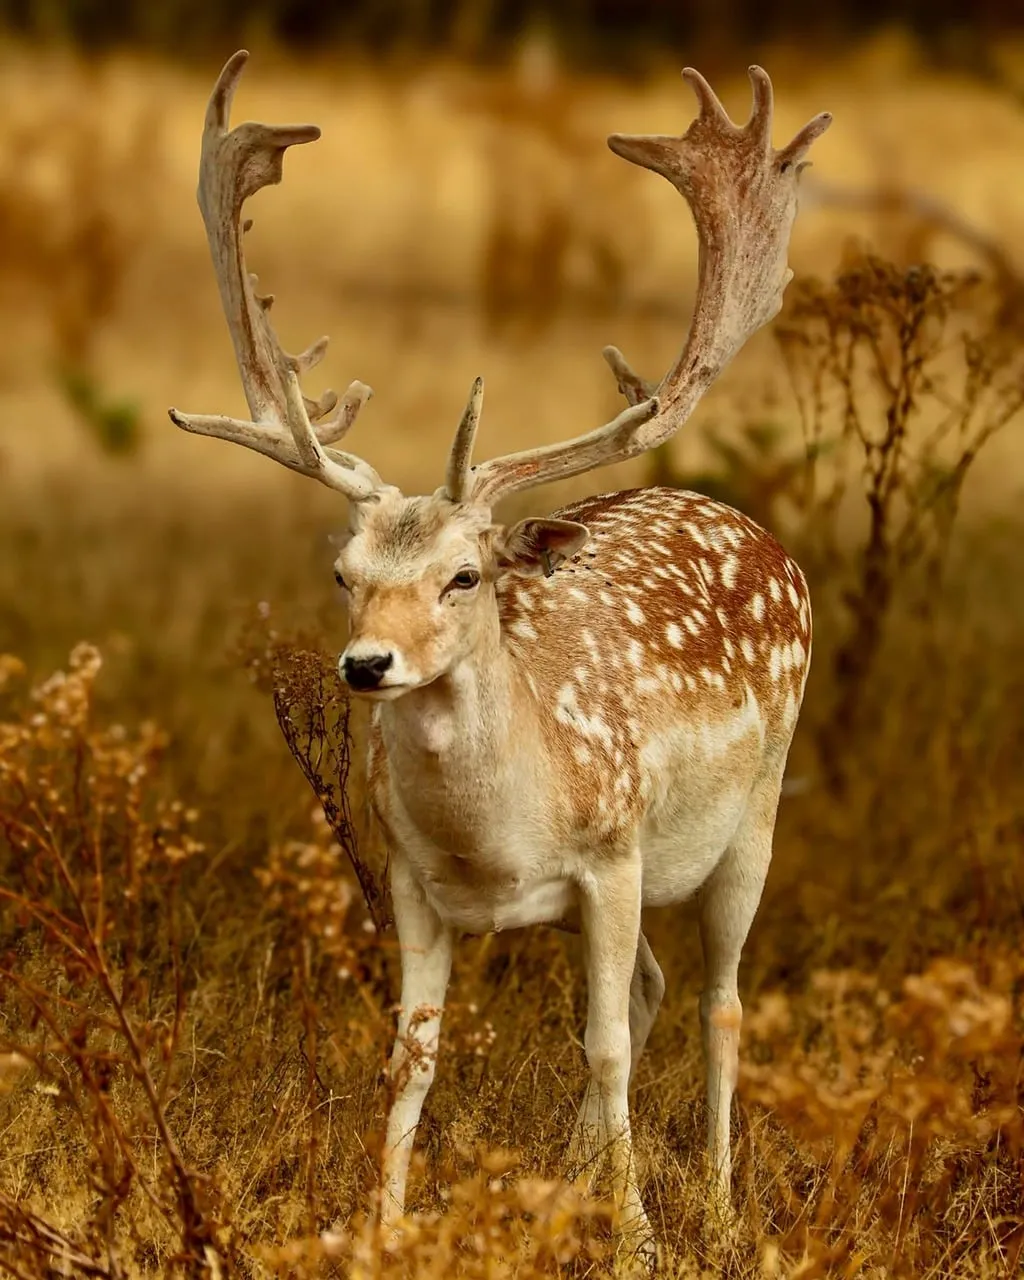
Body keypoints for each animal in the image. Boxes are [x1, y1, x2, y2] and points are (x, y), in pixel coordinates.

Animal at [168, 50, 831, 1256]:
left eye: (464, 575)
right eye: (345, 573)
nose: (367, 667)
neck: (496, 846)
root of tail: (755, 530)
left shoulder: (611, 854)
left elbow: (607, 1045)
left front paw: (640, 1241)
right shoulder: (411, 881)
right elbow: (413, 1052)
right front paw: (381, 1225)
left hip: (754, 810)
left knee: (716, 998)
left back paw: (715, 1204)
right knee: (652, 989)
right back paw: (571, 1174)